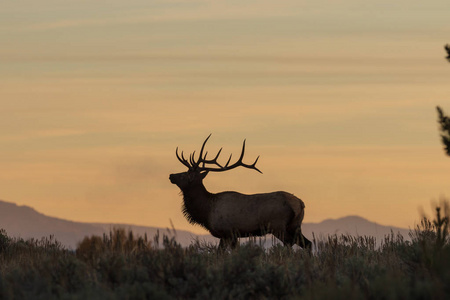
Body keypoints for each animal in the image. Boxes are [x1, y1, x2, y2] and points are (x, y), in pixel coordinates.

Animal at [167, 135, 312, 250]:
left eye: (186, 174)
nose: (171, 175)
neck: (206, 210)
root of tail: (300, 204)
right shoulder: (225, 236)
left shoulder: (229, 232)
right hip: (295, 226)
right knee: (308, 243)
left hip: (278, 226)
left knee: (289, 244)